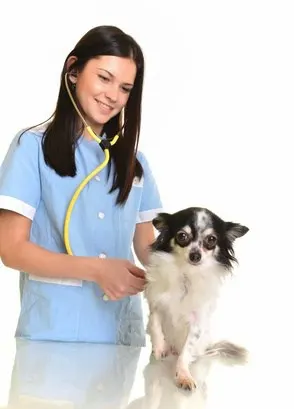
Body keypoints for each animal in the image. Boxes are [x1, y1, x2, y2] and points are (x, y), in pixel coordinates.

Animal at [144, 206, 249, 390]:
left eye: (211, 240)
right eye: (182, 236)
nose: (195, 255)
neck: (187, 274)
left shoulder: (196, 324)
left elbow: (186, 351)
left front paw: (183, 375)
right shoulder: (156, 304)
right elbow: (155, 326)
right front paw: (159, 348)